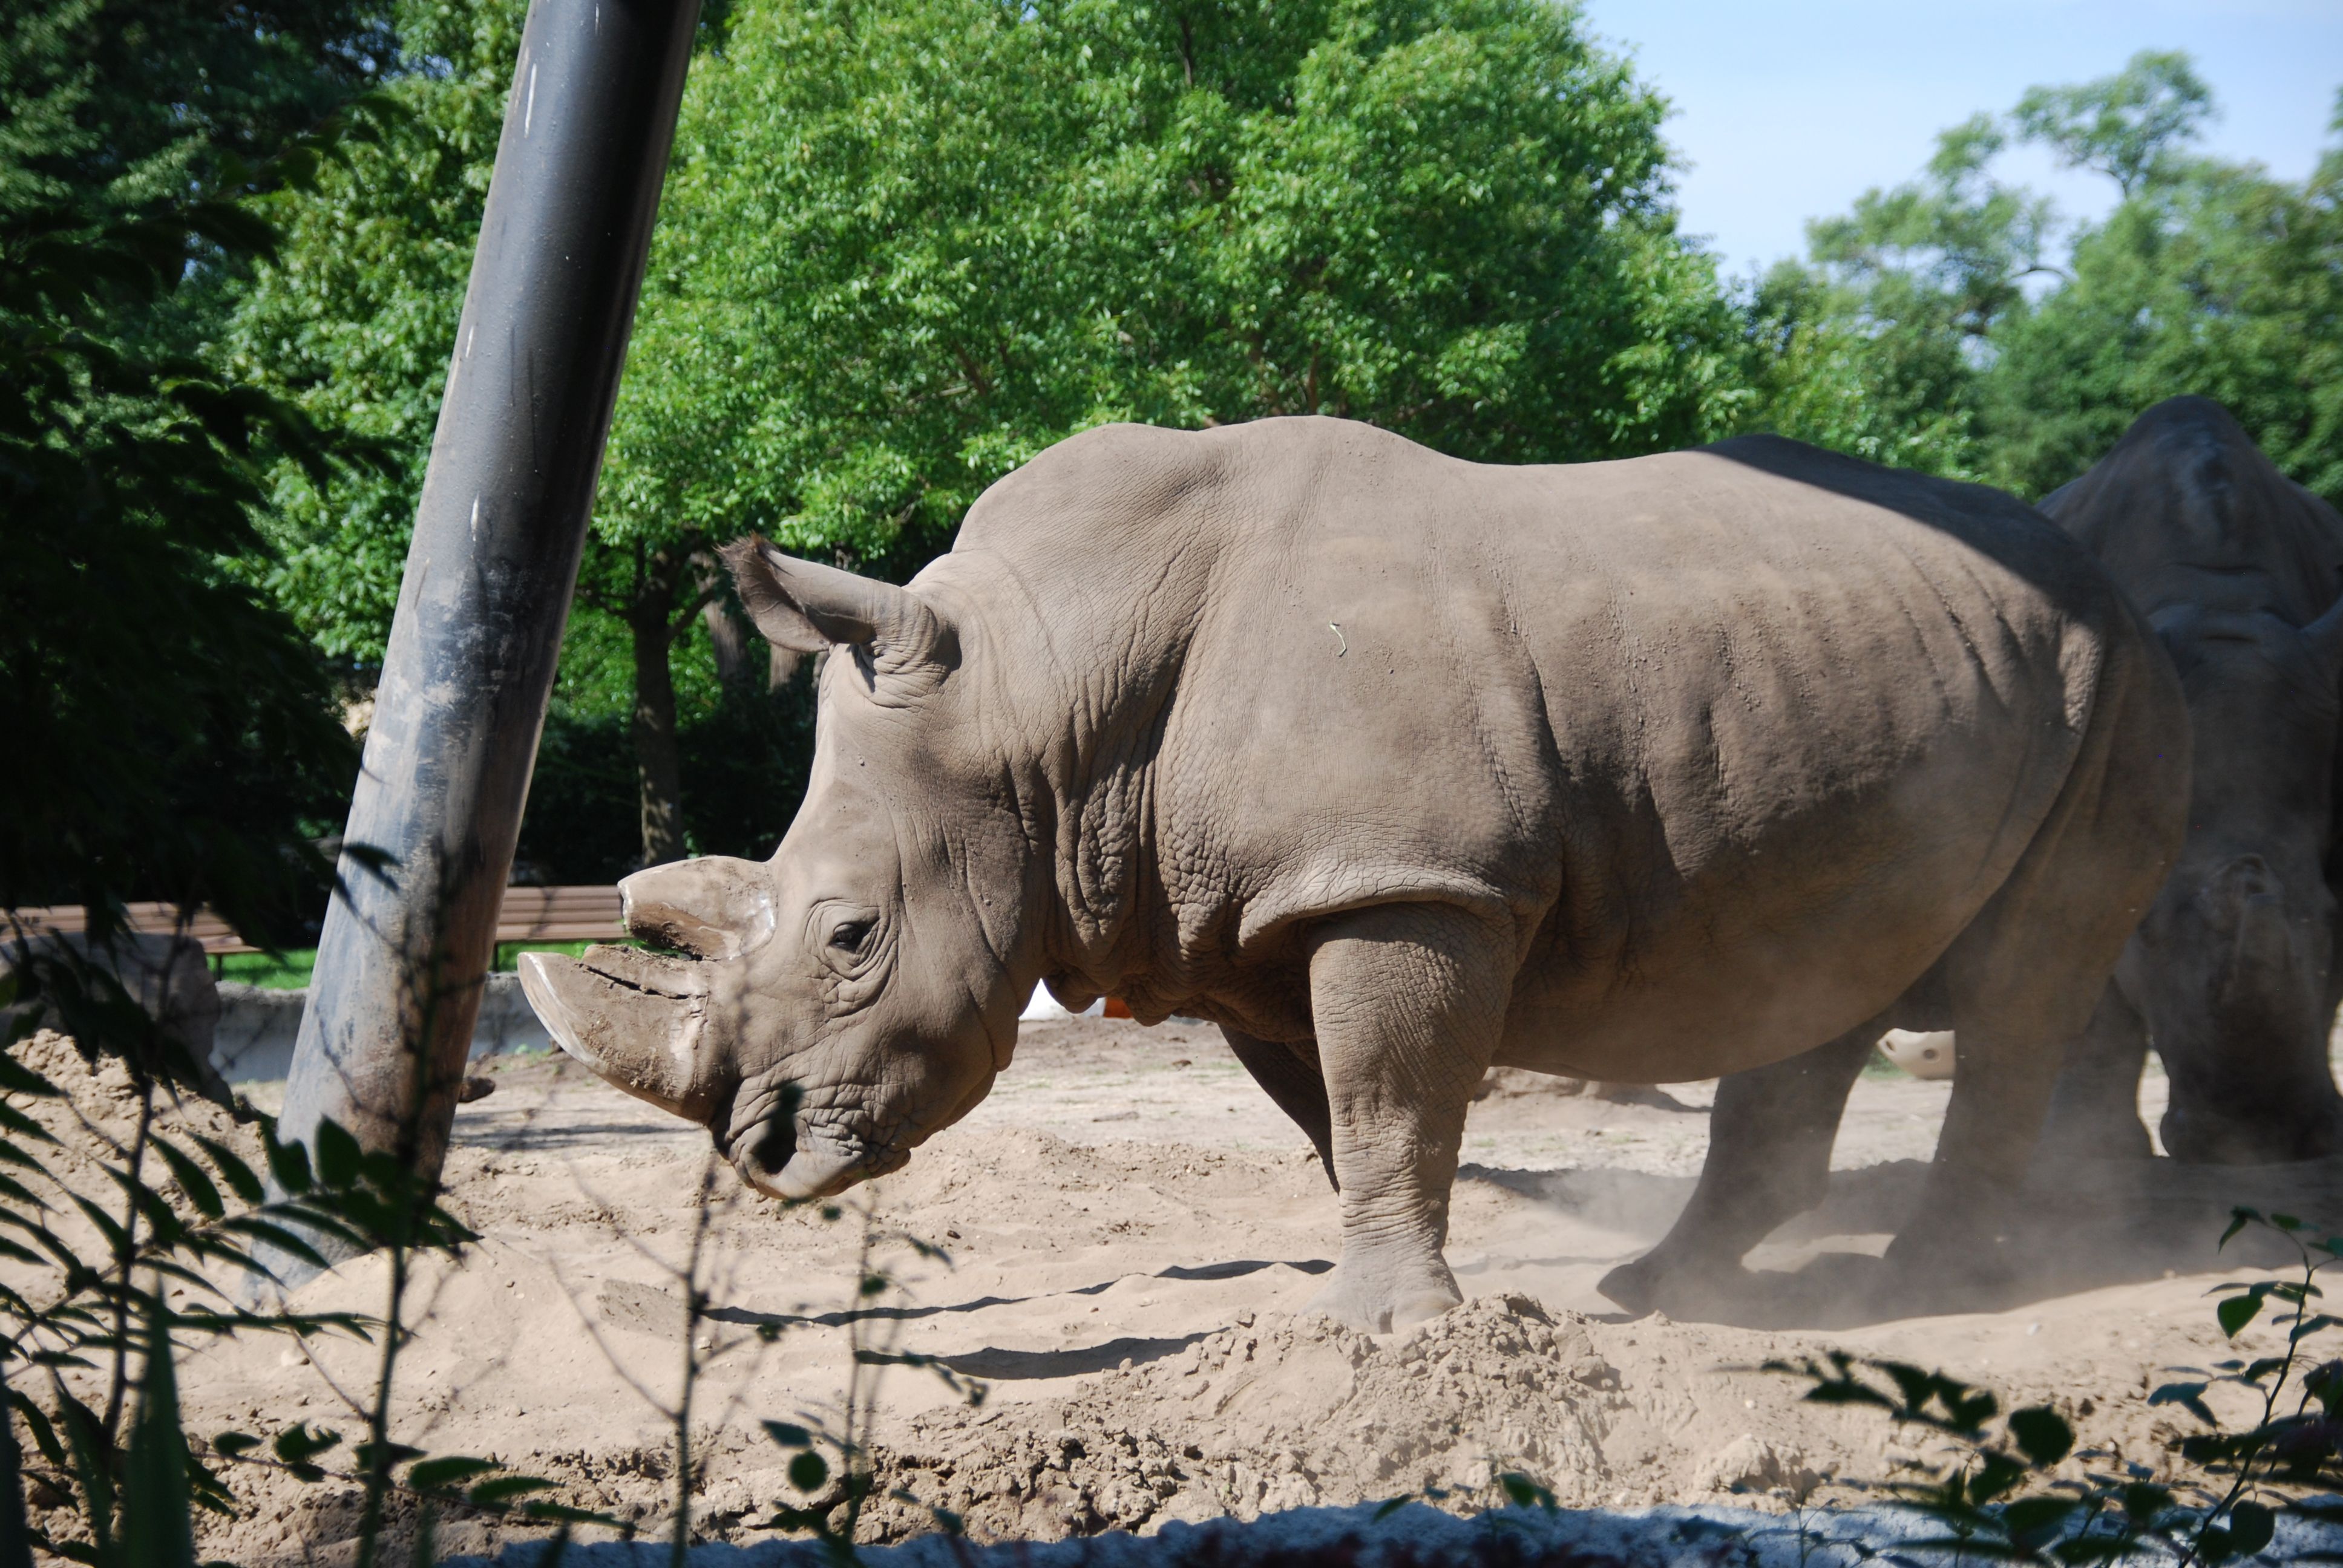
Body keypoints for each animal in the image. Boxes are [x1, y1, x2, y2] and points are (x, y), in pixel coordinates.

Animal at [521, 417, 2185, 1331]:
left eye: (855, 934)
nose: (763, 1154)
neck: (1043, 700)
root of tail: (2096, 573)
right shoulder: (1253, 913)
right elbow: (1347, 1115)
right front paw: (1380, 1322)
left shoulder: (1405, 880)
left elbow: (1389, 1096)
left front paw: (1394, 1329)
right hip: (1881, 682)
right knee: (1824, 963)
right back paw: (1668, 1295)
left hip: (2110, 681)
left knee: (2018, 985)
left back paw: (1916, 1295)